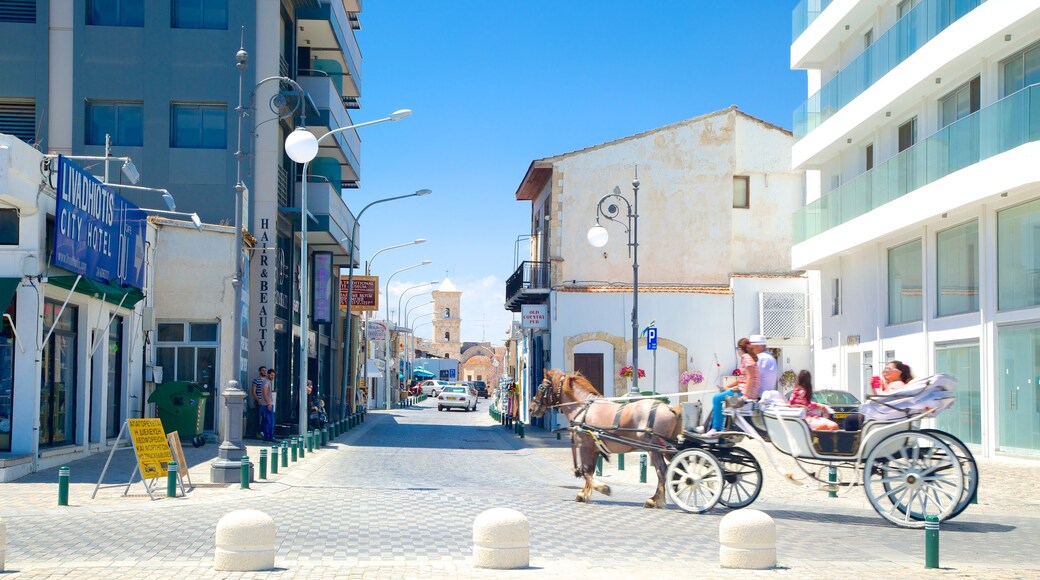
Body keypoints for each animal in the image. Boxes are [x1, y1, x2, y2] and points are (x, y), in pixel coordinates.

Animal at [528, 367, 682, 509]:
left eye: (541, 387)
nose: (531, 408)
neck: (582, 408)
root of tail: (669, 408)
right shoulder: (594, 449)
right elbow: (589, 471)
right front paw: (584, 493)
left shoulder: (585, 447)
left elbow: (585, 471)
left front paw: (603, 488)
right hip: (668, 448)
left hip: (654, 449)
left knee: (662, 471)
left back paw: (655, 499)